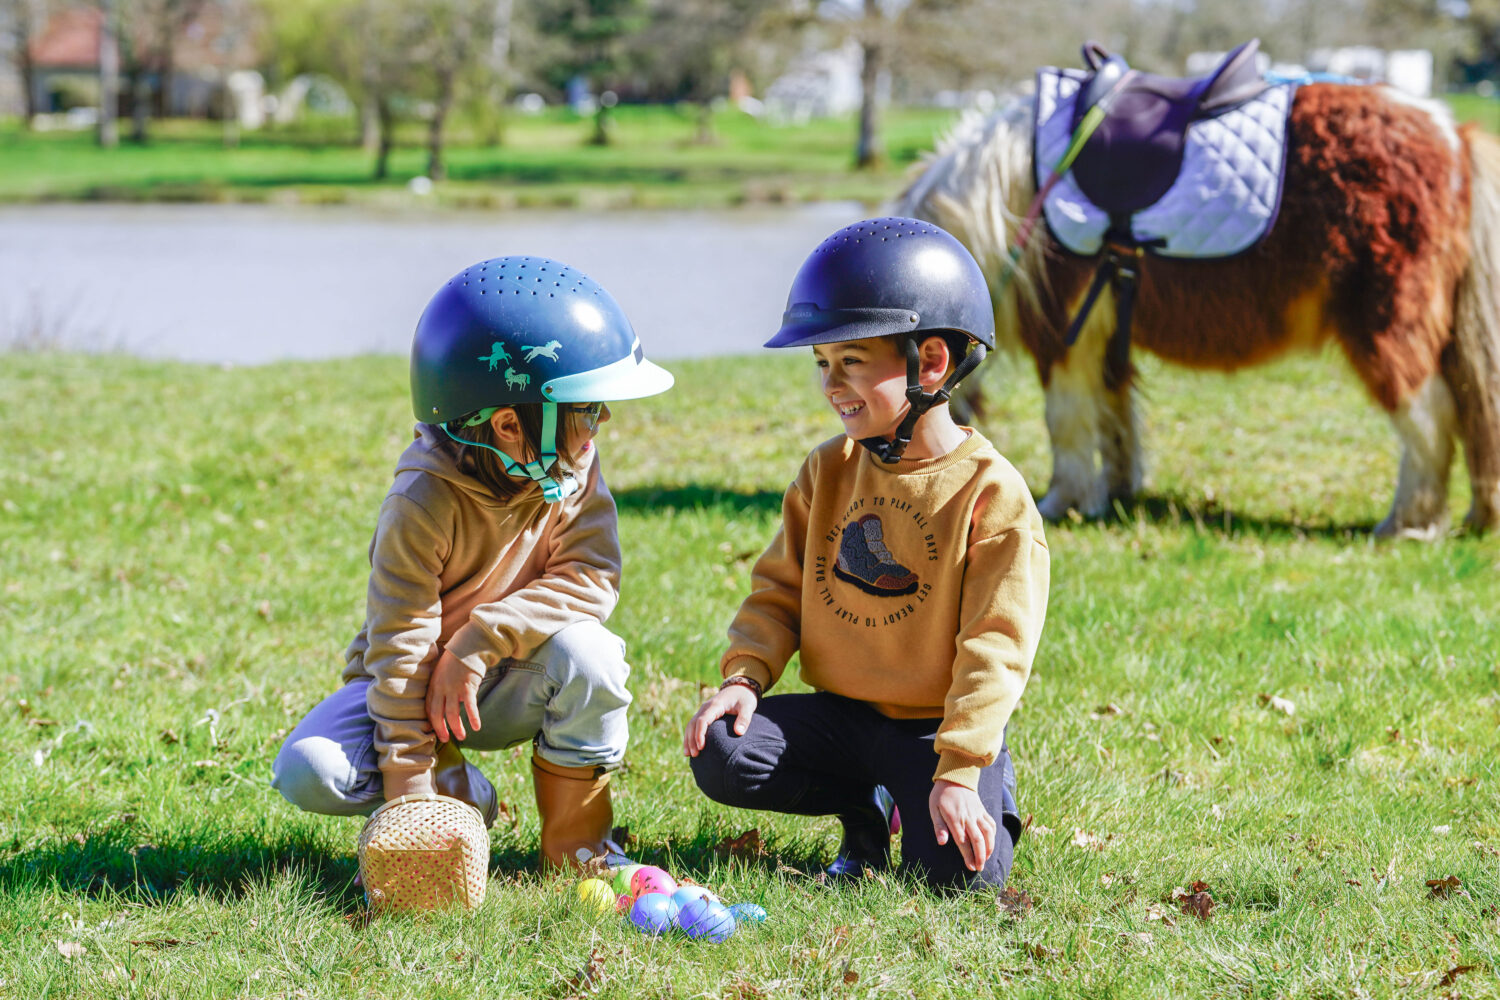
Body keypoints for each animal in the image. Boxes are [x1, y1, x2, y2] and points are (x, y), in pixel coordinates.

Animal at [895, 65, 1500, 539]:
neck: (1009, 199)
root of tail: (1452, 135)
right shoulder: (1106, 337)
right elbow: (1116, 418)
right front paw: (1116, 493)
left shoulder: (1067, 337)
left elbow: (1067, 421)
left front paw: (1062, 501)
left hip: (1386, 324)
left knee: (1427, 417)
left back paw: (1408, 523)